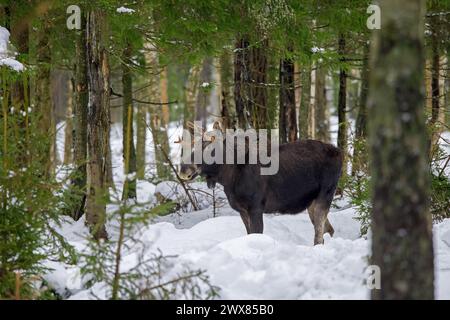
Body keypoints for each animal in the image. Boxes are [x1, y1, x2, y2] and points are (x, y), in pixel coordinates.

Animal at [178, 122, 342, 245]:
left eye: (210, 148)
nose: (184, 170)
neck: (229, 178)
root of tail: (339, 152)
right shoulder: (242, 209)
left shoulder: (256, 206)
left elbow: (257, 233)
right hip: (311, 202)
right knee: (329, 230)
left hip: (326, 193)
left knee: (319, 235)